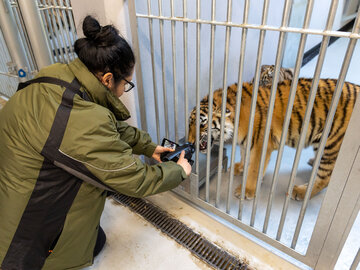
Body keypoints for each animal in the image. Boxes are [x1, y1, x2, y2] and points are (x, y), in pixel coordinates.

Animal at [188, 78, 360, 200]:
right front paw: (239, 168)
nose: (190, 143)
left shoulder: (261, 144)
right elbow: (244, 155)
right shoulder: (246, 143)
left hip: (331, 145)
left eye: (201, 125)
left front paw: (246, 191)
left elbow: (254, 168)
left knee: (326, 178)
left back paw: (300, 192)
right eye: (189, 124)